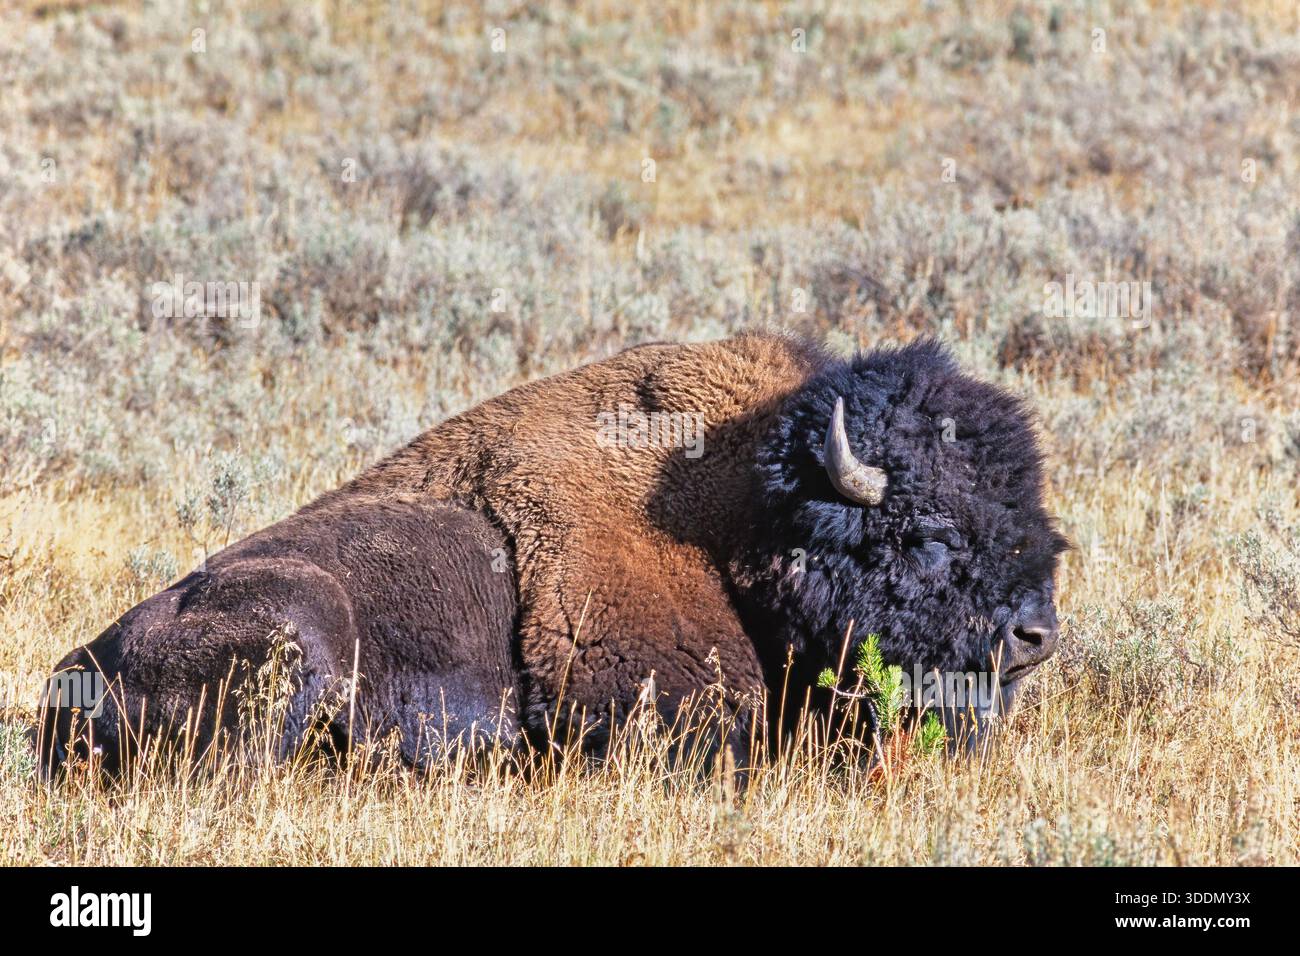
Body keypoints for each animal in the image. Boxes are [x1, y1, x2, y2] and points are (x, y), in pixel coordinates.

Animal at [39, 333, 1066, 773]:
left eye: (1036, 516)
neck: (741, 521)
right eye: (927, 535)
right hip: (299, 626)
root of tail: (73, 673)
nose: (1034, 638)